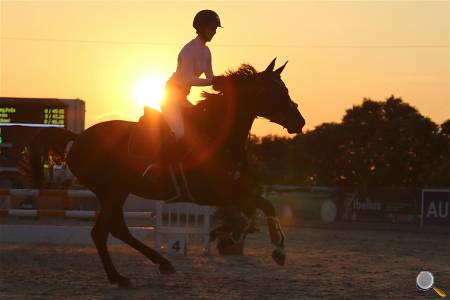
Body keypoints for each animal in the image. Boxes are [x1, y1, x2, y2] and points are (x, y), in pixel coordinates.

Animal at [29, 58, 306, 286]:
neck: (216, 133)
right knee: (101, 232)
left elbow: (251, 210)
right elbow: (262, 205)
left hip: (116, 192)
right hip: (112, 190)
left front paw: (236, 238)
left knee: (116, 229)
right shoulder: (211, 192)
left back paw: (156, 265)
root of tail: (77, 139)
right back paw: (122, 276)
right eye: (275, 91)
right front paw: (278, 250)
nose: (300, 122)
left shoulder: (230, 189)